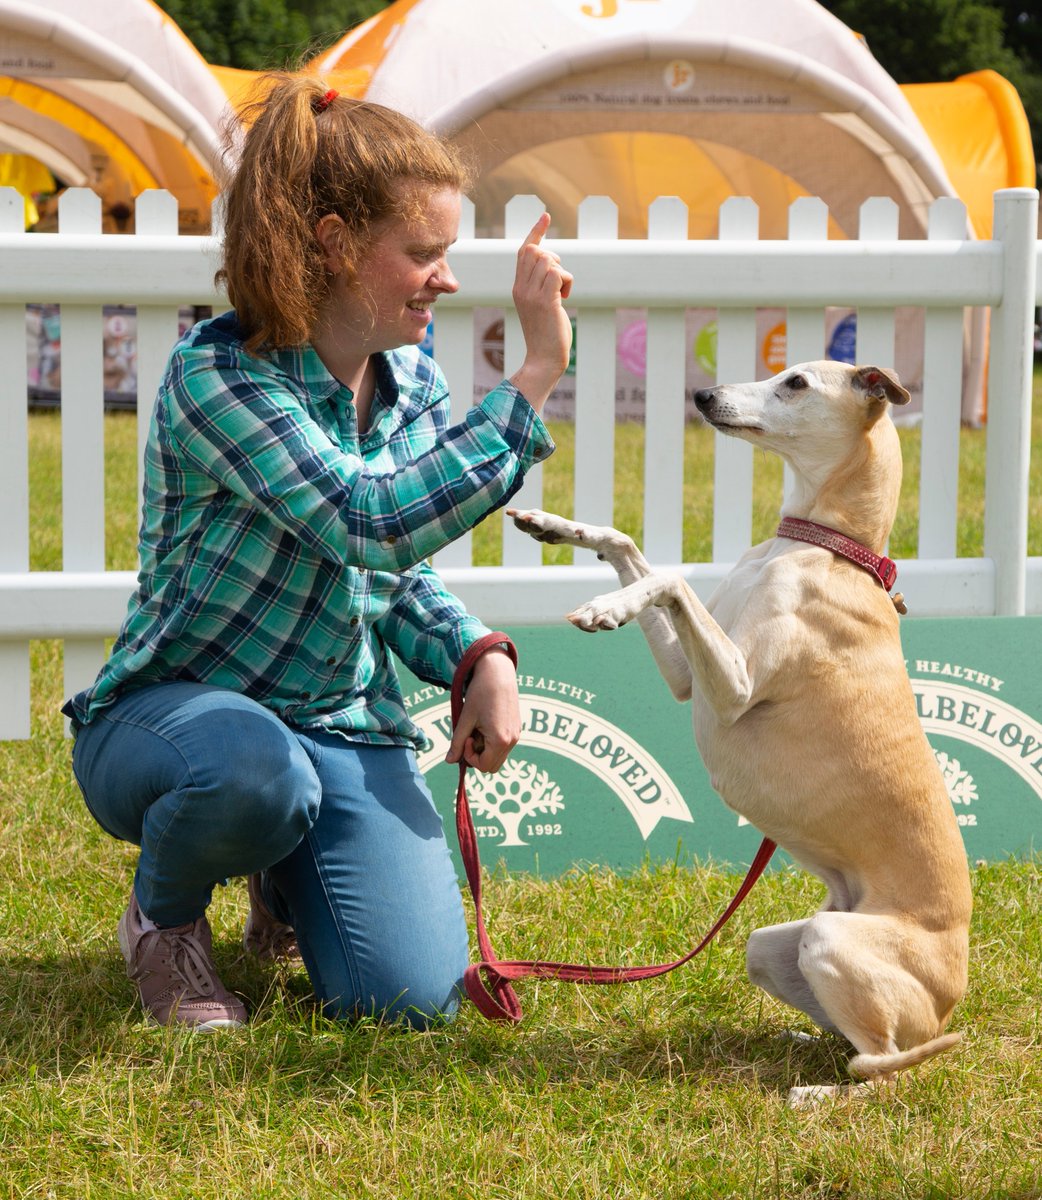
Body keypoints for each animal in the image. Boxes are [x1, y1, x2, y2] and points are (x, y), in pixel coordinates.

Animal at [508, 362, 974, 1104]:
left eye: (796, 382)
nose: (702, 396)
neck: (824, 549)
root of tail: (949, 1007)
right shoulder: (689, 678)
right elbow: (632, 545)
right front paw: (553, 524)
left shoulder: (733, 687)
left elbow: (668, 578)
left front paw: (607, 604)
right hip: (774, 946)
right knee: (861, 1045)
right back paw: (804, 1044)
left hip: (831, 944)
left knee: (882, 1068)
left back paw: (820, 1094)